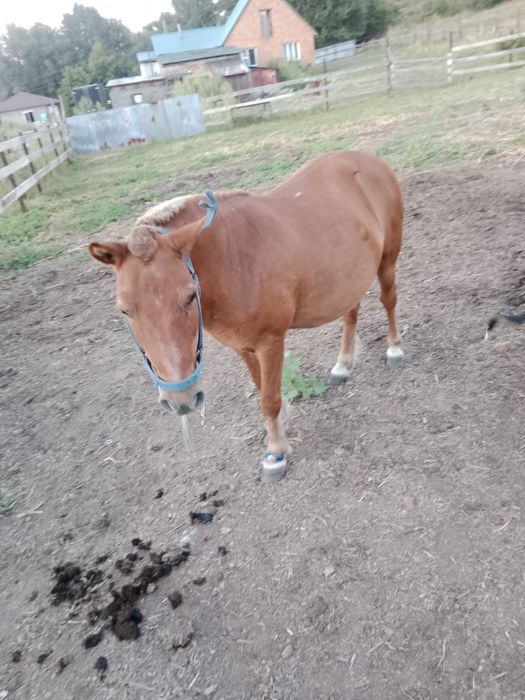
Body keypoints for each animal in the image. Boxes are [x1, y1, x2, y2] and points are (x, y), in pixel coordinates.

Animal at [88, 150, 405, 482]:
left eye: (189, 296)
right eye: (124, 309)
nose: (182, 401)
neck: (233, 259)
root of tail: (369, 160)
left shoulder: (270, 342)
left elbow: (269, 399)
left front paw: (275, 453)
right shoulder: (242, 345)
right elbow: (262, 388)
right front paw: (283, 426)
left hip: (387, 261)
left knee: (389, 301)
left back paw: (394, 349)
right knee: (350, 313)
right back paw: (343, 365)